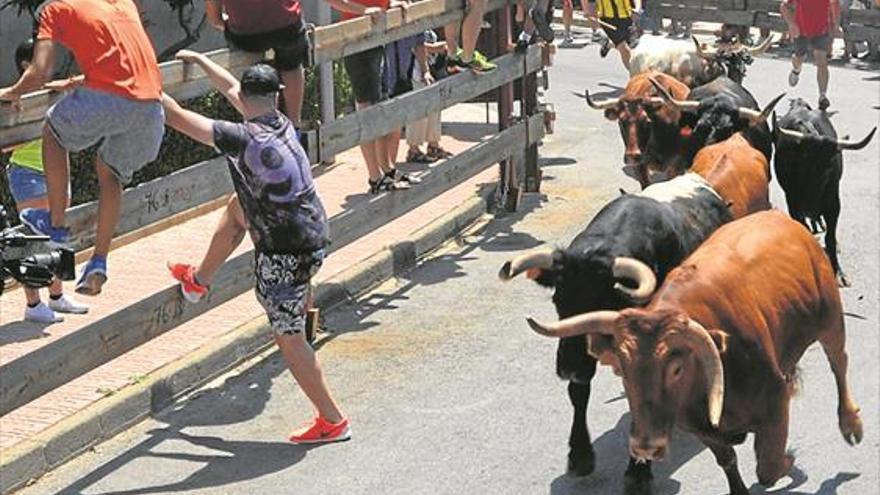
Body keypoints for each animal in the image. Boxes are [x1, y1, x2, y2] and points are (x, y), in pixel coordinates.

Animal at [524, 210, 864, 495]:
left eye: (676, 368)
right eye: (622, 368)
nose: (645, 446)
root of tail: (783, 219)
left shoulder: (774, 402)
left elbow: (768, 467)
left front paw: (791, 463)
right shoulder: (697, 426)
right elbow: (727, 458)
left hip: (831, 320)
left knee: (840, 363)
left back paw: (851, 424)